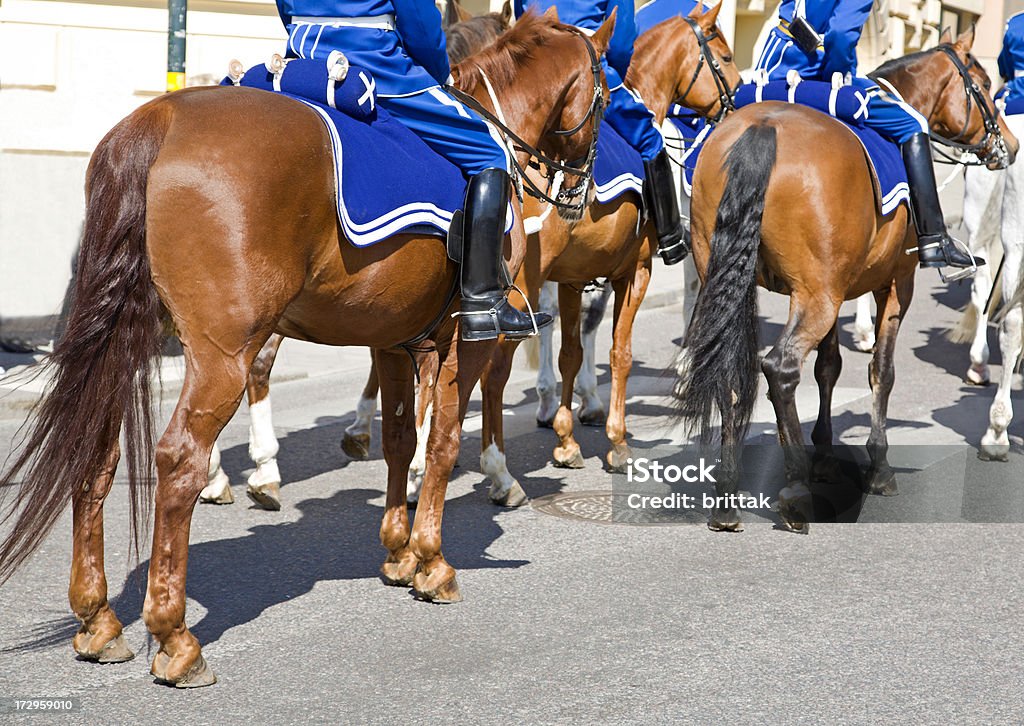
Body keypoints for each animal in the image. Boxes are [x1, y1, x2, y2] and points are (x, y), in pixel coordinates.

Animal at [0, 14, 610, 688]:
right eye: (606, 91)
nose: (578, 190)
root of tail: (158, 120)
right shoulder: (463, 344)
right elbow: (445, 443)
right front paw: (432, 562)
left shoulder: (391, 341)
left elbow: (401, 440)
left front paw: (397, 552)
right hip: (221, 355)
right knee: (181, 460)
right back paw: (176, 637)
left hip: (126, 344)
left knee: (96, 453)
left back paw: (99, 621)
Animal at [475, 5, 741, 503]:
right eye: (727, 56)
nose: (734, 106)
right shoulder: (634, 272)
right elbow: (619, 352)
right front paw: (617, 443)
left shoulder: (573, 278)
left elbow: (571, 352)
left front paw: (566, 440)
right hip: (518, 292)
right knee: (488, 371)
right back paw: (495, 473)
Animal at [671, 26, 1015, 532]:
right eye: (986, 84)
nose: (1009, 144)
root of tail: (763, 127)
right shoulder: (895, 285)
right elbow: (881, 372)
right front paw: (878, 466)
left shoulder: (832, 289)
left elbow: (828, 368)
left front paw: (826, 455)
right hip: (819, 297)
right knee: (780, 368)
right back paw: (794, 491)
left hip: (752, 286)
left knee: (735, 369)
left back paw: (728, 497)